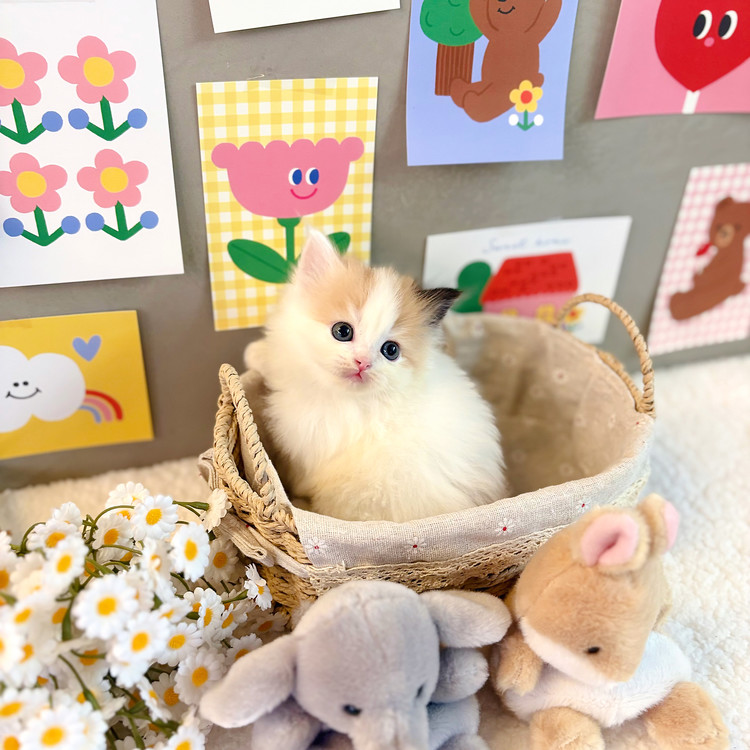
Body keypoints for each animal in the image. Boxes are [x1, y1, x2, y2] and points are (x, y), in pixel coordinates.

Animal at [244, 230, 509, 522]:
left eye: (390, 350)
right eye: (342, 331)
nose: (363, 363)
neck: (332, 394)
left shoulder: (312, 449)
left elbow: (299, 476)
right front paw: (258, 353)